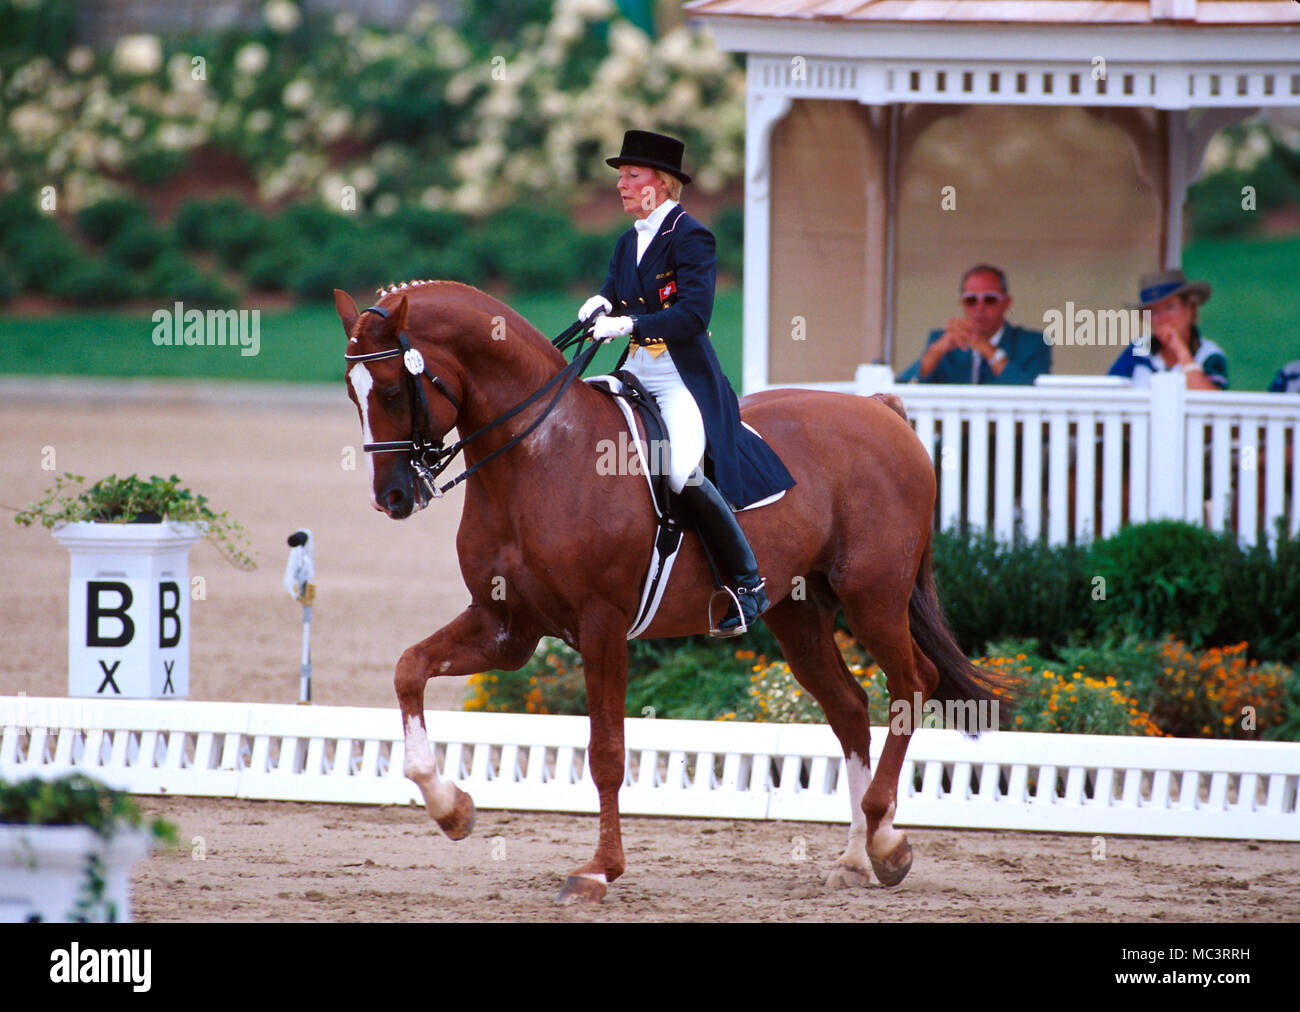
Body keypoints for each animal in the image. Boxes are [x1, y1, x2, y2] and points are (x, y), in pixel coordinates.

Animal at [338, 279, 1003, 905]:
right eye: (352, 393)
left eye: (392, 390)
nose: (392, 497)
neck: (536, 456)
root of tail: (880, 410)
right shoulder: (506, 628)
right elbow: (409, 668)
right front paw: (450, 808)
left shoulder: (601, 625)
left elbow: (607, 753)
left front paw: (598, 871)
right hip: (799, 613)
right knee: (850, 708)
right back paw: (857, 858)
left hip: (872, 597)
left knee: (912, 683)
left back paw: (887, 842)